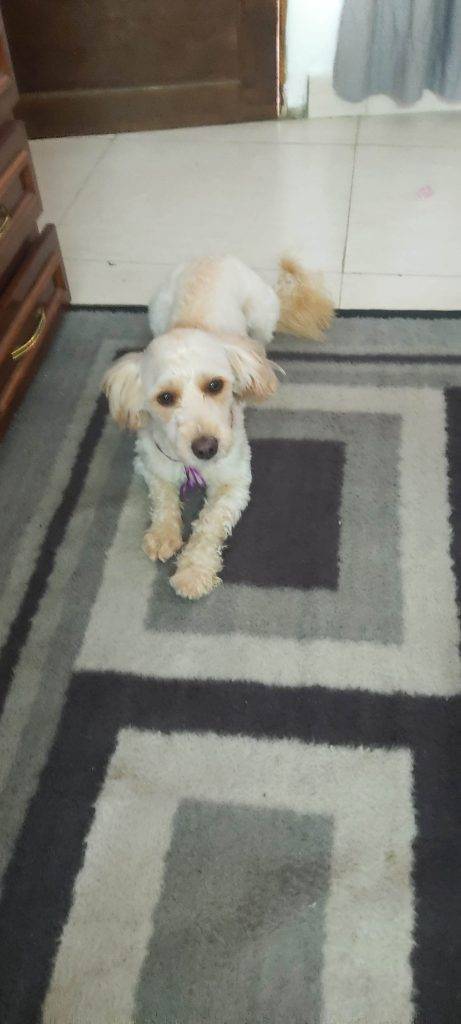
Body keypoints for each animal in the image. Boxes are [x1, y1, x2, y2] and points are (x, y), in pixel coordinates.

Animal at [102, 256, 333, 599]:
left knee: (261, 339)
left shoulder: (236, 482)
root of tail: (212, 255)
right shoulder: (148, 463)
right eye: (165, 397)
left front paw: (193, 572)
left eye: (215, 385)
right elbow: (163, 499)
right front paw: (163, 535)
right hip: (156, 309)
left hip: (262, 314)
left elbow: (209, 523)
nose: (206, 448)